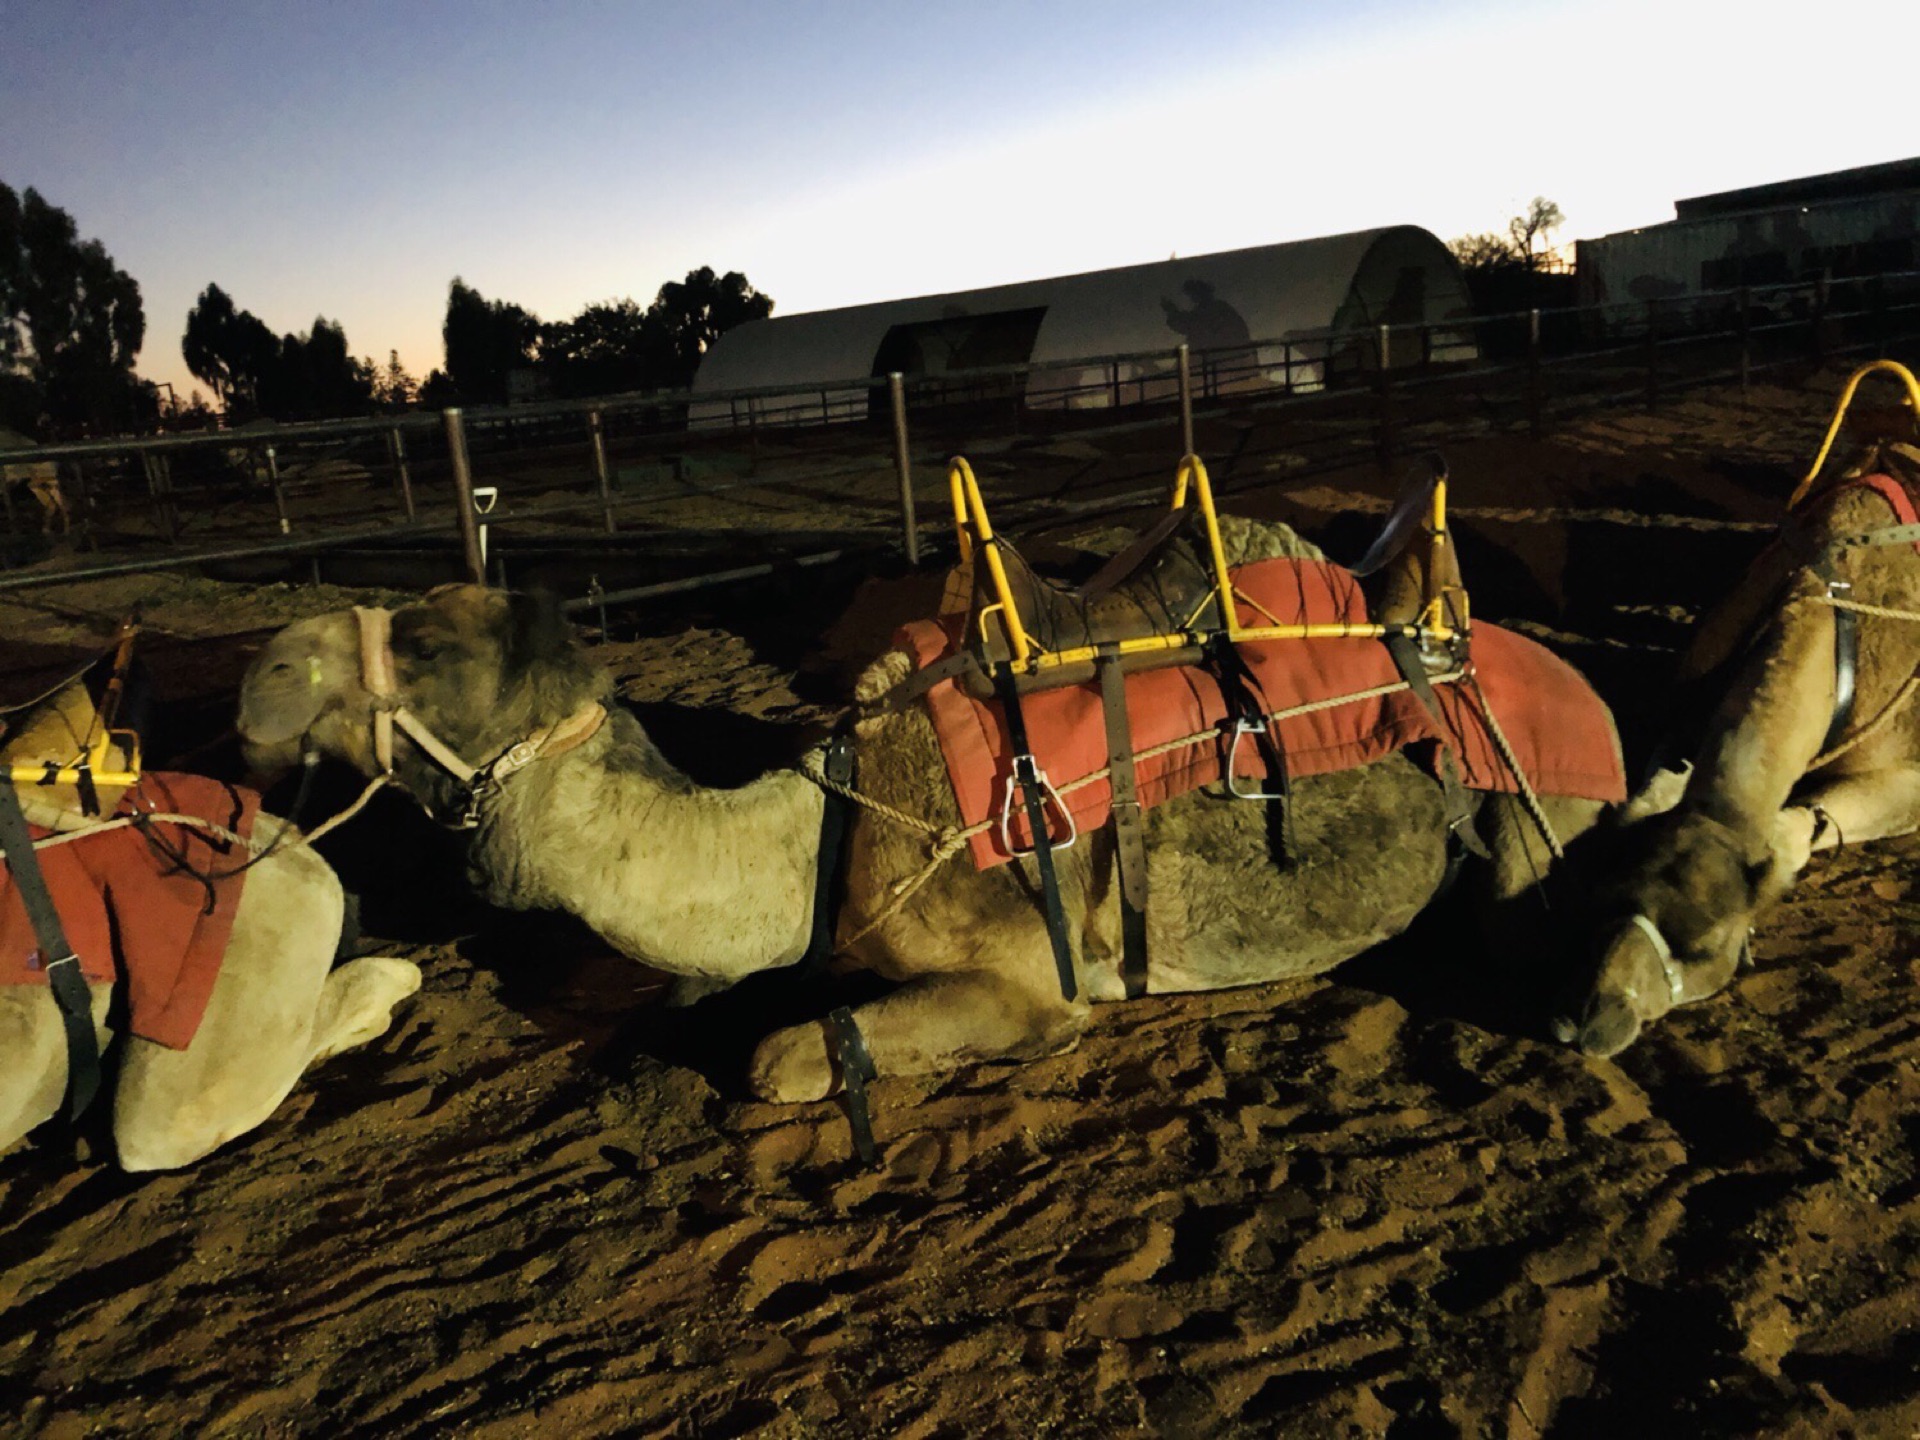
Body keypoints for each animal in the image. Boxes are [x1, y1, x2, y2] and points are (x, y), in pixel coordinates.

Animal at [236, 518, 1620, 1105]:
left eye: (429, 647)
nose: (261, 674)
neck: (830, 832)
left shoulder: (1024, 979)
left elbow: (785, 1055)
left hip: (1529, 814)